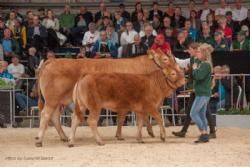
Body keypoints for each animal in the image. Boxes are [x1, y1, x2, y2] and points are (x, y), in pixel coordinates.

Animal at [36, 49, 187, 147]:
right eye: (165, 59)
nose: (180, 69)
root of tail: (52, 60)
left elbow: (129, 118)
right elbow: (125, 118)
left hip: (59, 101)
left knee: (55, 117)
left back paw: (64, 137)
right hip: (52, 99)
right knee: (46, 115)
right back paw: (39, 140)